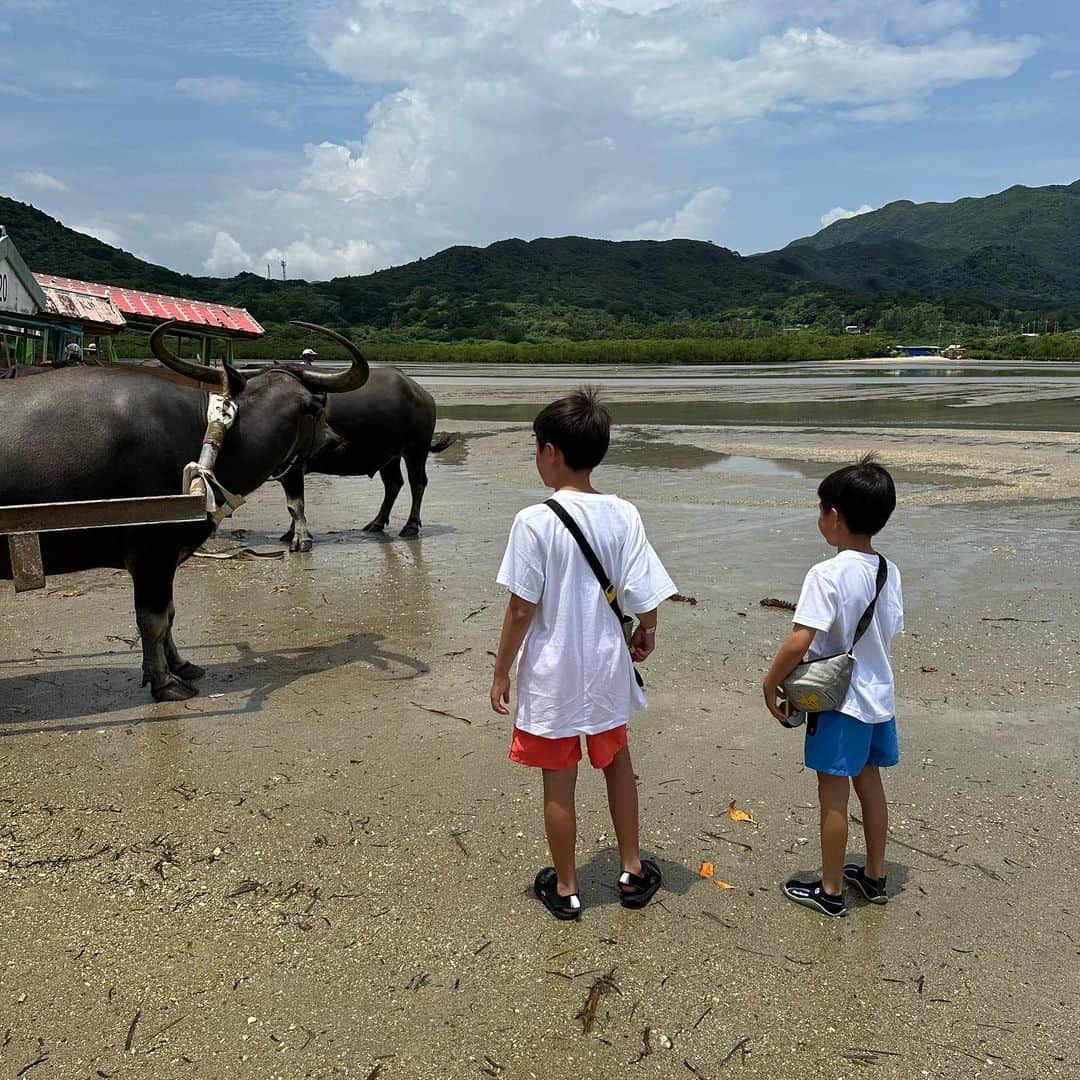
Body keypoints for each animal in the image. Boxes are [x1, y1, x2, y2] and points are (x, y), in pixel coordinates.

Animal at [0, 317, 369, 708]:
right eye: (317, 408)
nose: (336, 439)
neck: (209, 442)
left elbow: (171, 614)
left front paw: (181, 664)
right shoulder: (152, 552)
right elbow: (154, 619)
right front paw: (164, 681)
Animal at [278, 365, 451, 548]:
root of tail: (421, 393)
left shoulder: (293, 467)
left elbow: (295, 504)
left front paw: (295, 535)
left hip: (416, 450)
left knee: (417, 483)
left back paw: (410, 526)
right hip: (390, 457)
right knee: (393, 483)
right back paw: (377, 523)